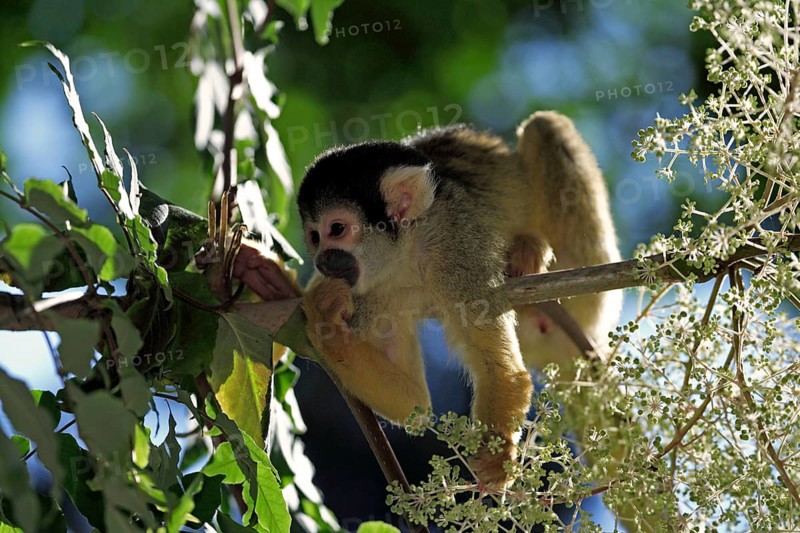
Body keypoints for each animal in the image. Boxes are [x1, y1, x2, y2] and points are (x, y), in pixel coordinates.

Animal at [283, 111, 623, 488]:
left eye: (337, 229)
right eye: (314, 236)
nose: (322, 260)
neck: (405, 256)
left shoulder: (456, 246)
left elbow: (499, 370)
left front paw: (497, 453)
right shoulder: (369, 295)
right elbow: (414, 405)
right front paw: (323, 317)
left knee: (544, 127)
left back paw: (529, 253)